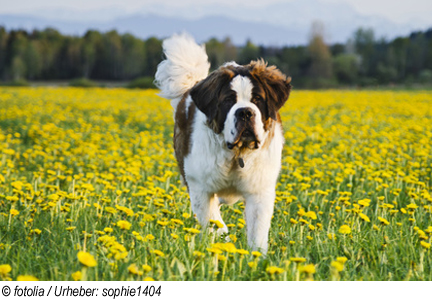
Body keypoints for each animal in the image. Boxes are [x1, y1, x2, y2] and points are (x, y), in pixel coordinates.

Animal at [154, 33, 290, 253]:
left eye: (257, 99)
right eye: (228, 100)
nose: (245, 112)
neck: (237, 155)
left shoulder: (260, 190)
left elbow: (258, 232)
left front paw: (256, 256)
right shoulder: (200, 187)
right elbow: (214, 223)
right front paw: (222, 244)